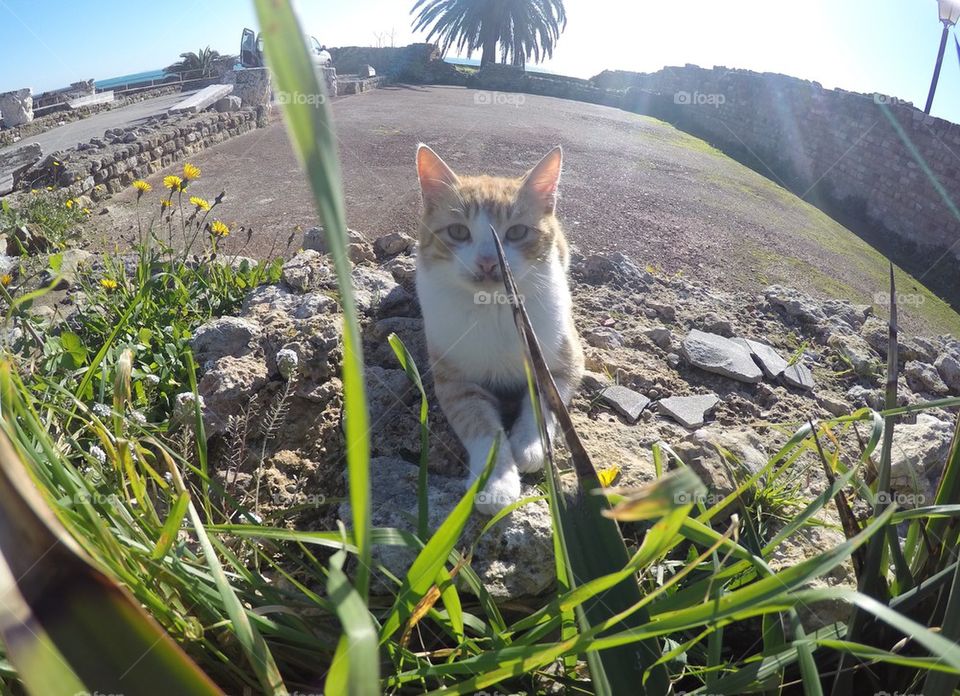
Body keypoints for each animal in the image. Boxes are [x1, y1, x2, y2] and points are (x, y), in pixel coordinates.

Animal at [414, 145, 584, 516]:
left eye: (517, 233)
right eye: (459, 232)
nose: (490, 262)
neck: (495, 308)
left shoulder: (565, 365)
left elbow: (544, 403)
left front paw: (530, 445)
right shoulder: (455, 384)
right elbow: (483, 428)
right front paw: (496, 482)